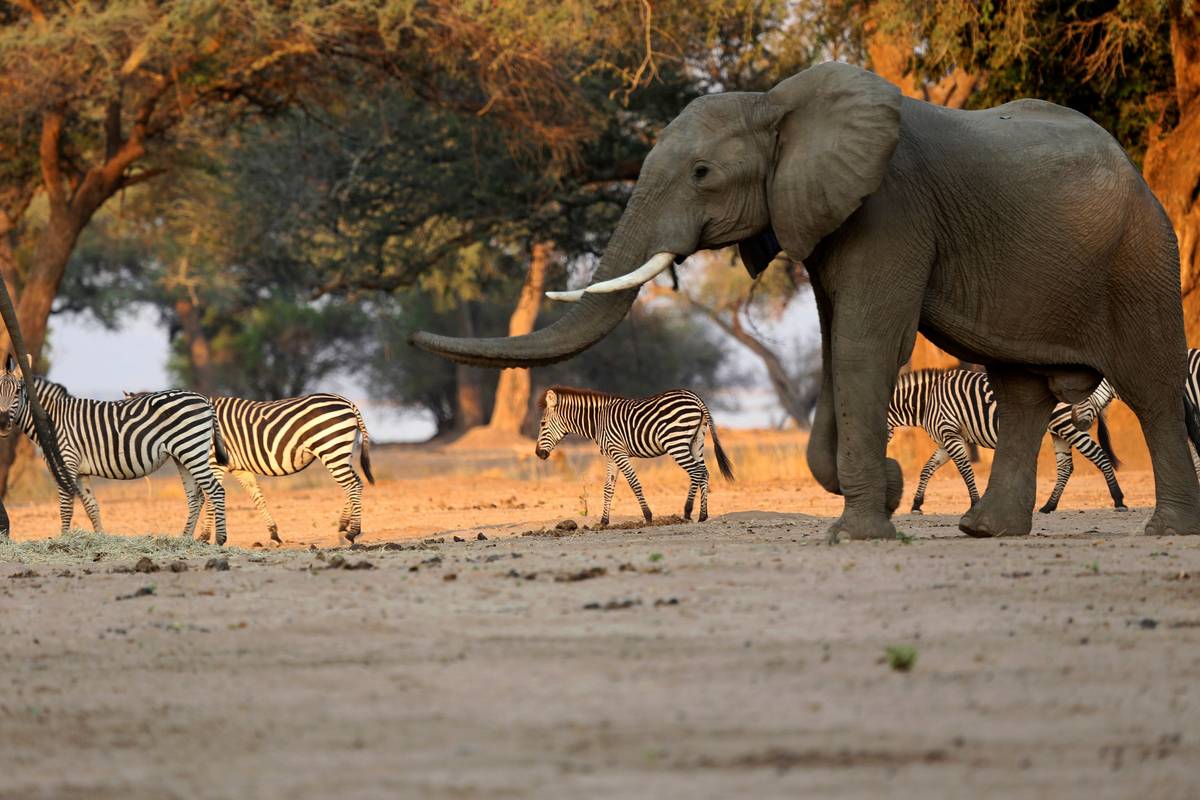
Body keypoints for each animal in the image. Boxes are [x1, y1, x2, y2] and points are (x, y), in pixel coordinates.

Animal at [0, 358, 229, 542]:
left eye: (18, 391)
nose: (2, 423)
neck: (50, 418)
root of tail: (204, 399)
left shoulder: (66, 462)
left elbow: (66, 506)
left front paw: (63, 541)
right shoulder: (80, 471)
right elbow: (91, 506)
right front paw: (100, 538)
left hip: (191, 449)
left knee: (215, 490)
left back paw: (219, 539)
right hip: (182, 455)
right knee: (196, 497)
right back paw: (184, 539)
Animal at [535, 386, 734, 526]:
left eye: (542, 424)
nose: (538, 454)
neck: (598, 421)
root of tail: (695, 397)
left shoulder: (619, 452)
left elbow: (633, 483)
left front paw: (648, 515)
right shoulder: (611, 455)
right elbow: (608, 488)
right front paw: (603, 521)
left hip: (675, 442)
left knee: (696, 472)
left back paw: (687, 511)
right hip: (696, 440)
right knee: (704, 472)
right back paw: (702, 515)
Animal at [888, 369, 1125, 514]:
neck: (926, 401)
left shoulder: (951, 435)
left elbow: (965, 470)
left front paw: (975, 503)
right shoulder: (948, 440)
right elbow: (927, 469)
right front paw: (916, 504)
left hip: (1068, 424)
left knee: (1100, 456)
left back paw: (1119, 500)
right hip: (1059, 430)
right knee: (1066, 466)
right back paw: (1049, 506)